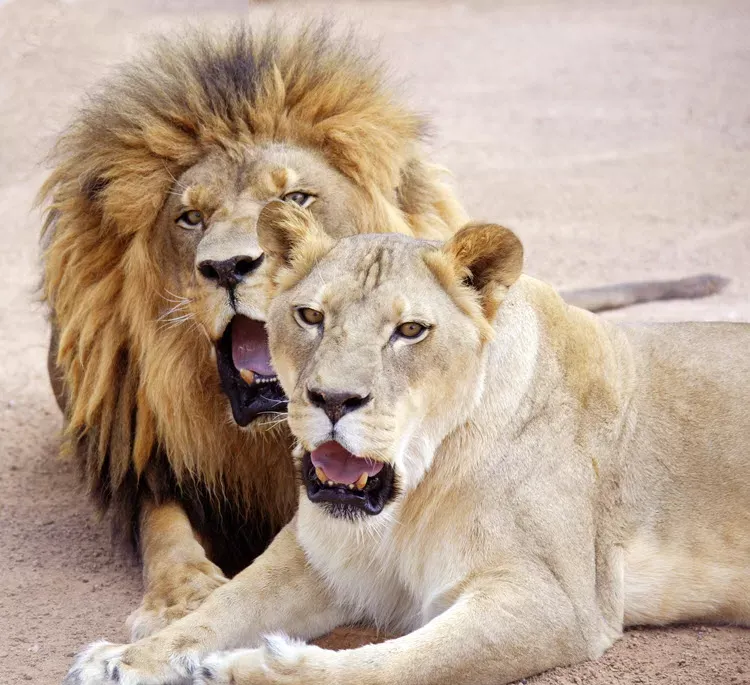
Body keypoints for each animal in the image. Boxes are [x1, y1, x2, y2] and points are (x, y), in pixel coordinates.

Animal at [41, 23, 729, 643]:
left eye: (298, 197)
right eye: (190, 217)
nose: (229, 267)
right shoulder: (145, 461)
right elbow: (164, 529)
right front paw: (180, 599)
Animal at [63, 201, 750, 685]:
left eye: (411, 330)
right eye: (311, 316)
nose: (333, 399)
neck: (413, 492)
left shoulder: (556, 600)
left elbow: (398, 665)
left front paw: (249, 669)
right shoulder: (317, 555)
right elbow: (220, 608)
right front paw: (124, 660)